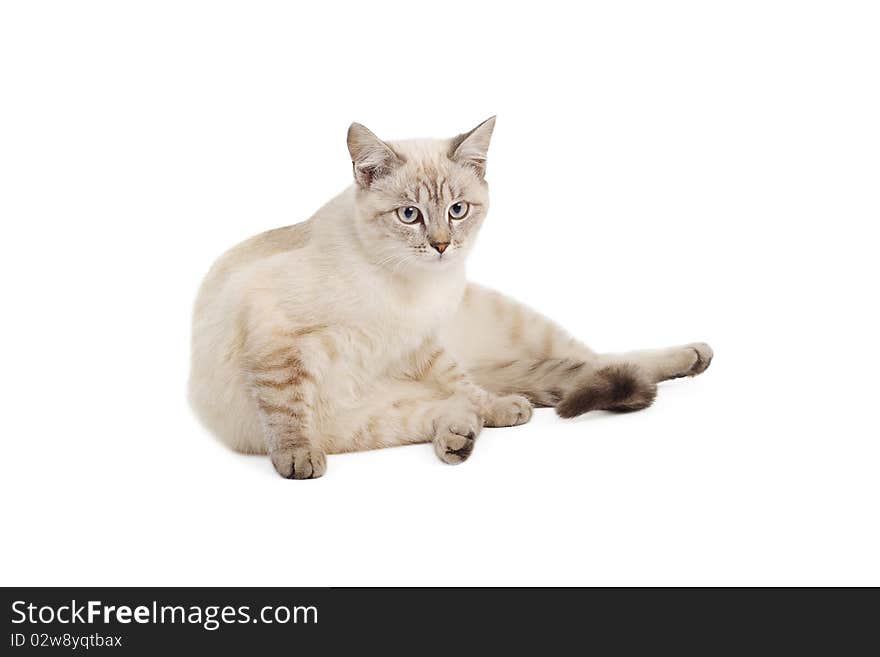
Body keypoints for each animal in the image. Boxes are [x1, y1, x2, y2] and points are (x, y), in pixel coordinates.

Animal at [189, 118, 712, 476]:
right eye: (409, 214)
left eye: (458, 210)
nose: (442, 245)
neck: (408, 286)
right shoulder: (276, 340)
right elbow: (286, 409)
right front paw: (296, 458)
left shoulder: (423, 342)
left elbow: (462, 383)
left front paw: (497, 407)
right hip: (366, 423)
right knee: (453, 410)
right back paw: (459, 439)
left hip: (521, 327)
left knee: (597, 361)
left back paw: (692, 356)